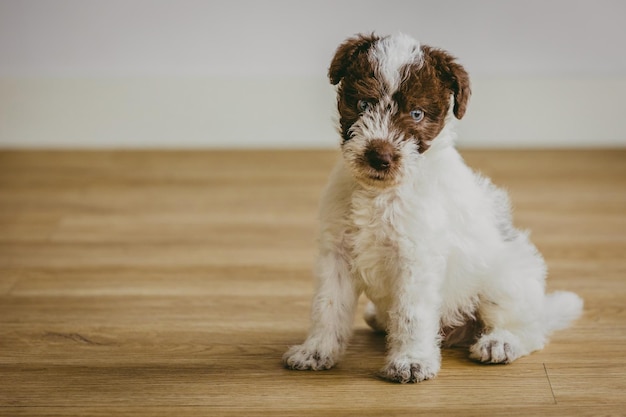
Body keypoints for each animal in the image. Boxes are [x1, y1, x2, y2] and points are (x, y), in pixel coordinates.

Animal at [282, 33, 580, 384]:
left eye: (417, 114)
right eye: (363, 104)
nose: (379, 157)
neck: (381, 193)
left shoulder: (416, 258)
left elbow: (411, 314)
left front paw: (411, 361)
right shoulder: (337, 253)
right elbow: (326, 306)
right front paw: (316, 350)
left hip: (504, 281)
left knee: (531, 330)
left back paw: (501, 342)